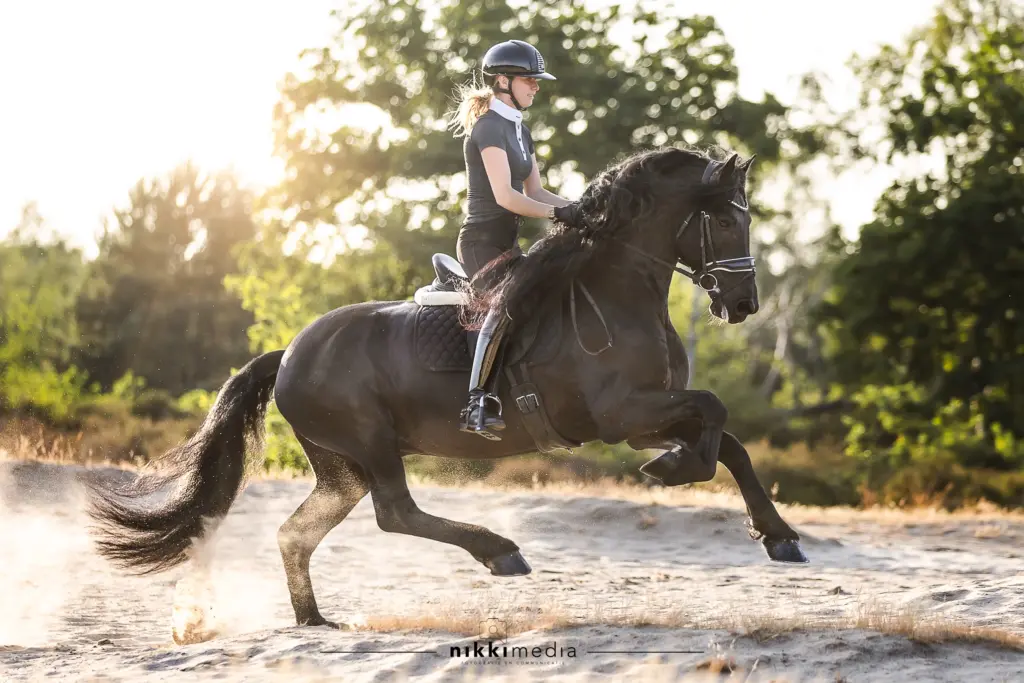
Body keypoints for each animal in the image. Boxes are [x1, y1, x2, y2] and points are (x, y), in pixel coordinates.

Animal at [90, 147, 806, 626]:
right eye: (727, 222)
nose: (743, 304)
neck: (618, 292)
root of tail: (290, 351)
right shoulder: (622, 415)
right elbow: (715, 414)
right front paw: (676, 469)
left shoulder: (642, 418)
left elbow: (730, 441)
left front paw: (778, 535)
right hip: (370, 444)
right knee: (395, 513)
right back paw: (501, 552)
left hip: (340, 466)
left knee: (299, 532)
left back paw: (315, 621)